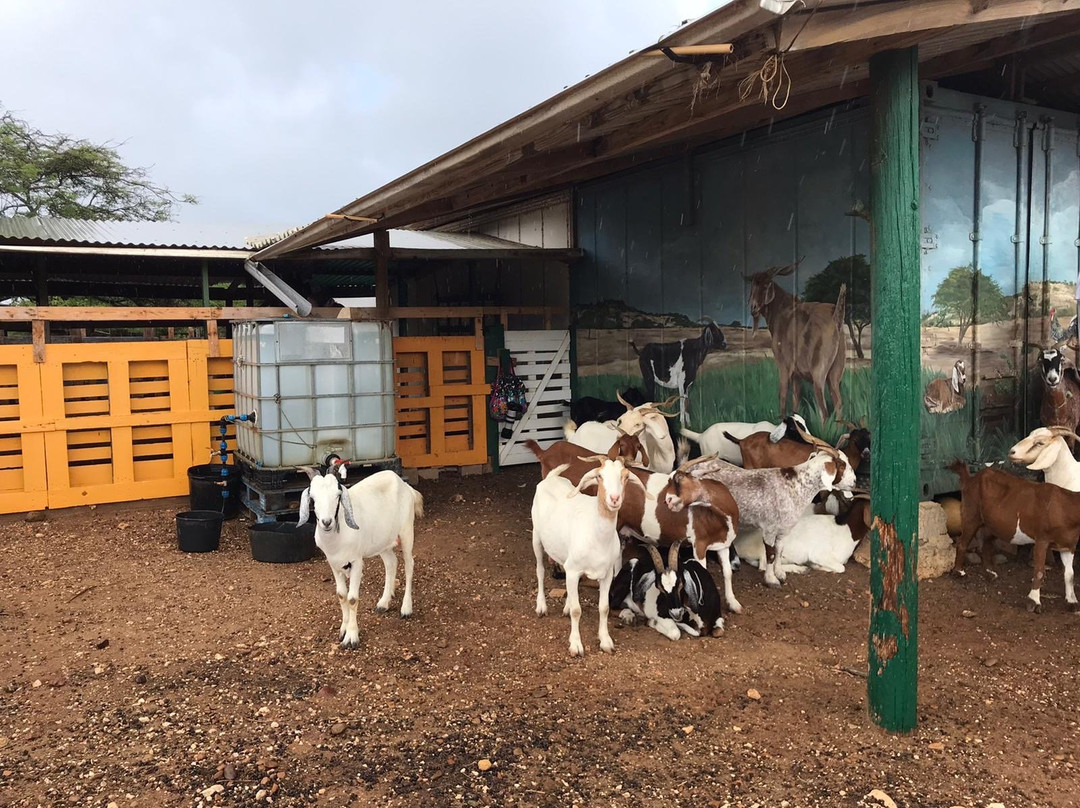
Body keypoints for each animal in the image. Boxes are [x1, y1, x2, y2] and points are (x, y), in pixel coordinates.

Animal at [297, 465, 423, 649]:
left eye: (337, 495)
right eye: (312, 498)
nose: (327, 522)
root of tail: (406, 486)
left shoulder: (356, 562)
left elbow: (352, 598)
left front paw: (351, 637)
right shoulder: (334, 564)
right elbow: (341, 595)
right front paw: (343, 629)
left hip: (407, 530)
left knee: (409, 565)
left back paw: (406, 608)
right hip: (382, 541)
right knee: (391, 563)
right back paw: (383, 603)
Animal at [531, 457, 649, 656]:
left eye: (625, 477)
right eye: (599, 476)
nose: (614, 499)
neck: (596, 534)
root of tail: (551, 477)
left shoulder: (606, 574)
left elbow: (604, 608)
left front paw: (606, 641)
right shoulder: (574, 570)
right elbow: (577, 611)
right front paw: (576, 645)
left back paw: (565, 605)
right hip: (536, 537)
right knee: (540, 571)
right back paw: (541, 607)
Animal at [675, 451, 853, 588]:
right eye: (841, 466)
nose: (854, 481)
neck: (795, 486)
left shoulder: (784, 529)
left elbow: (780, 550)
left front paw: (780, 573)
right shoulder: (769, 528)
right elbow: (770, 554)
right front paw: (771, 579)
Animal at [746, 261, 846, 420]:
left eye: (766, 284)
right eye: (753, 285)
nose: (753, 308)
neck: (782, 312)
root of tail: (835, 315)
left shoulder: (784, 365)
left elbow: (782, 394)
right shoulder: (797, 374)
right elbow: (796, 399)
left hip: (819, 374)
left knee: (824, 411)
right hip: (835, 375)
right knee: (838, 404)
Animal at [949, 459, 1080, 612]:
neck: (1065, 507)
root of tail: (971, 478)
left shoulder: (1068, 545)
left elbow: (1070, 574)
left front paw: (1072, 602)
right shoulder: (1042, 538)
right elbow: (1039, 571)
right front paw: (1034, 602)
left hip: (991, 523)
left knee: (986, 542)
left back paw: (990, 573)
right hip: (971, 513)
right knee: (962, 542)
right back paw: (959, 572)